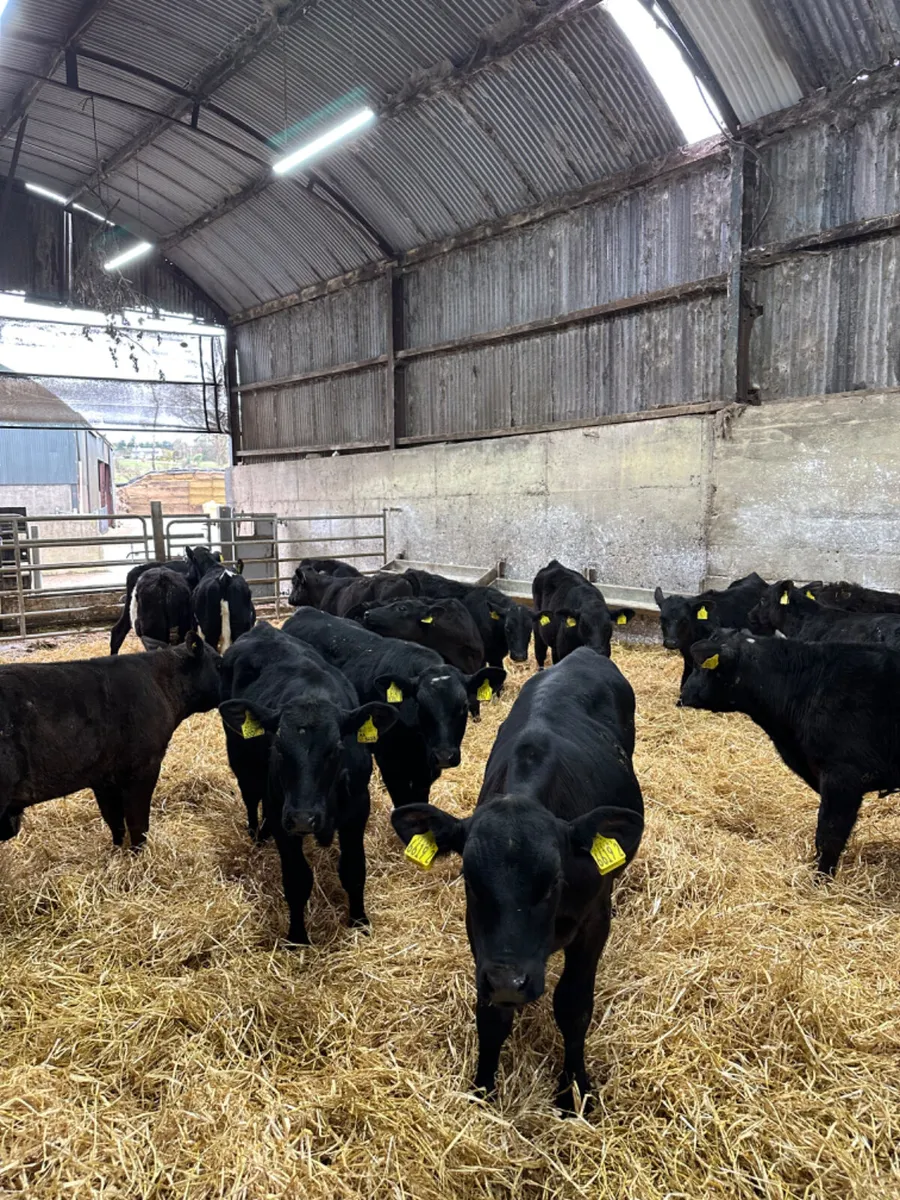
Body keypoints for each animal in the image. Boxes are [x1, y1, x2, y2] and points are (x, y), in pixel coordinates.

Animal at [0, 633, 221, 848]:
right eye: (219, 662)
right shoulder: (144, 766)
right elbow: (138, 821)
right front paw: (138, 853)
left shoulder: (102, 776)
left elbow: (114, 820)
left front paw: (118, 851)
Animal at [219, 622, 397, 944]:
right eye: (278, 748)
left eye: (336, 749)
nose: (303, 818)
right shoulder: (282, 814)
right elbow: (297, 879)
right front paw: (297, 937)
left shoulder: (357, 809)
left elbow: (354, 870)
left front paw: (359, 921)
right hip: (240, 759)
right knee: (250, 795)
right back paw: (255, 833)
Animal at [391, 647, 643, 1112]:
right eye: (470, 880)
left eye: (554, 882)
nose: (510, 983)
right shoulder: (481, 940)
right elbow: (491, 1014)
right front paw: (482, 1092)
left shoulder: (594, 922)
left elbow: (574, 1006)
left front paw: (573, 1092)